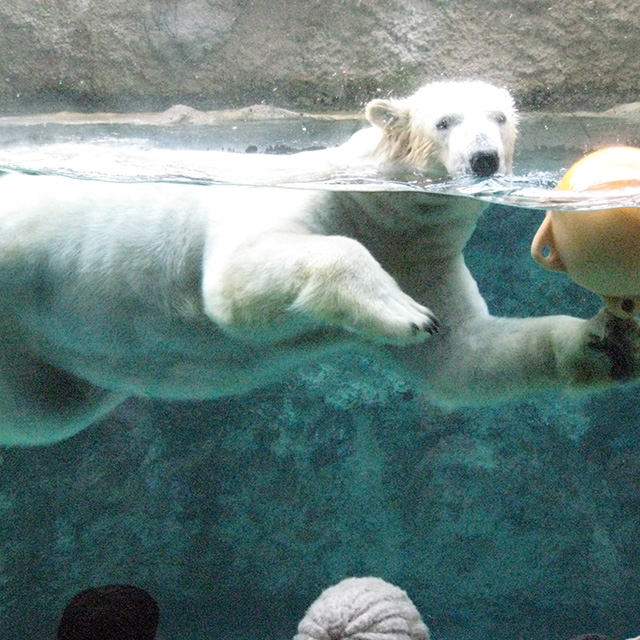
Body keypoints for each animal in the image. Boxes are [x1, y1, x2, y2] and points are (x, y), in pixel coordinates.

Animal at [0, 80, 636, 444]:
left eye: (500, 118)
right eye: (444, 122)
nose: (483, 159)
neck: (370, 203)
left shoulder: (422, 256)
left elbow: (464, 354)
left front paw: (609, 342)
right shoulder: (306, 206)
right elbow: (236, 278)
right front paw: (402, 312)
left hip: (41, 364)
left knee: (43, 412)